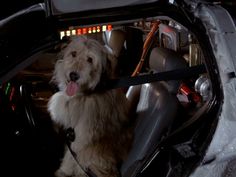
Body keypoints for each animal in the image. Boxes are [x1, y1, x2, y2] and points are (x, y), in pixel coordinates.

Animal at [48, 36, 133, 177]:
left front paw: (65, 171)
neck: (86, 94)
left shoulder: (82, 139)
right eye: (73, 54)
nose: (73, 75)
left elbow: (73, 156)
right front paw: (64, 170)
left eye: (90, 59)